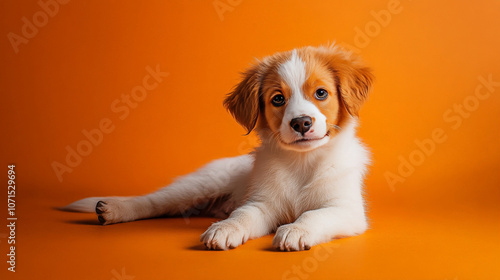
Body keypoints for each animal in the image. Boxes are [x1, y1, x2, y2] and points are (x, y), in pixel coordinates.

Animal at [62, 44, 374, 252]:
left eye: (321, 93)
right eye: (278, 99)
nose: (301, 123)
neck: (303, 162)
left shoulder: (346, 209)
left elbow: (315, 214)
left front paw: (296, 229)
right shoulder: (261, 203)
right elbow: (243, 215)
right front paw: (226, 229)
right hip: (198, 185)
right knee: (153, 201)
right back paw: (114, 209)